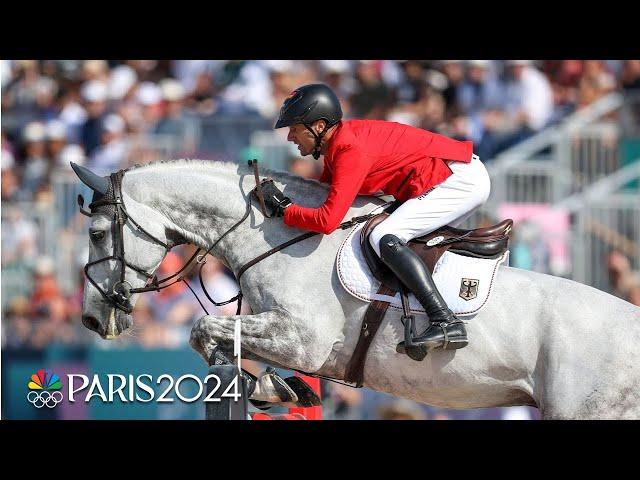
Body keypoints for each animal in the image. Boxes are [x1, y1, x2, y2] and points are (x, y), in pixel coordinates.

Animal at [74, 159, 640, 418]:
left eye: (98, 233)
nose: (91, 319)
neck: (277, 236)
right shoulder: (286, 337)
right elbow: (215, 339)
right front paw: (276, 388)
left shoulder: (301, 339)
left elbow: (203, 329)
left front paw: (262, 385)